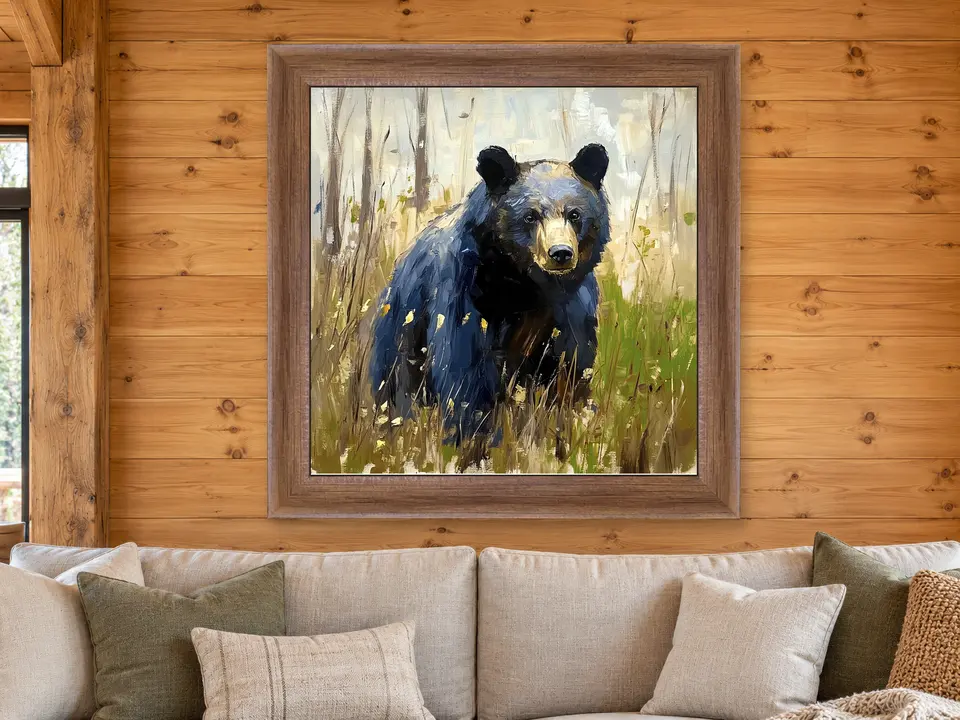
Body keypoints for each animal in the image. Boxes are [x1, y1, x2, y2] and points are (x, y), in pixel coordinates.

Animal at [369, 143, 611, 460]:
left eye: (574, 214)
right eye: (530, 216)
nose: (560, 253)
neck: (525, 286)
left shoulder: (571, 308)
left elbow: (570, 368)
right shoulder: (465, 290)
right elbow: (464, 370)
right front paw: (475, 442)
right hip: (400, 334)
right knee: (395, 389)